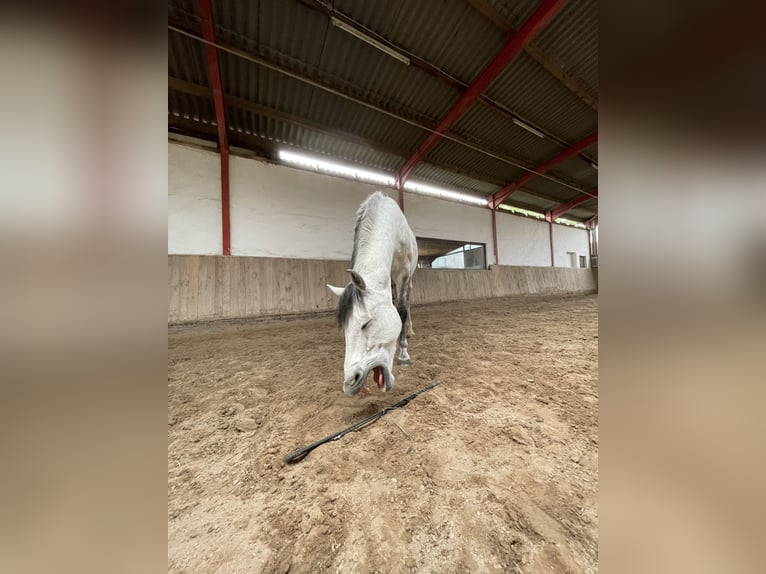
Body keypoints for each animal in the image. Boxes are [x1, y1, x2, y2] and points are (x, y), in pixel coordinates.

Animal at [327, 192, 418, 395]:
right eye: (344, 328)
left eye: (366, 323)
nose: (350, 382)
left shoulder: (402, 275)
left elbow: (401, 311)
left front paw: (404, 355)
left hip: (407, 281)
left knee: (407, 304)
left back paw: (409, 330)